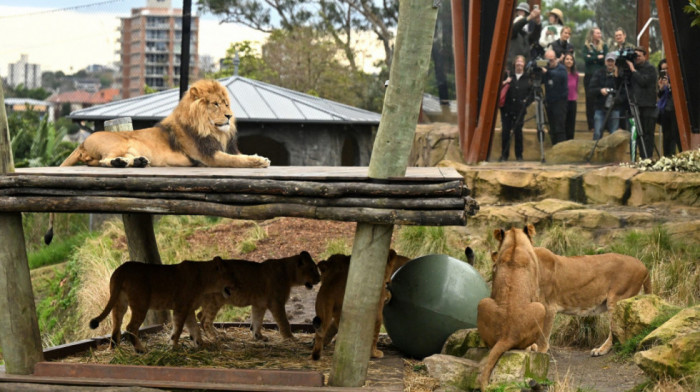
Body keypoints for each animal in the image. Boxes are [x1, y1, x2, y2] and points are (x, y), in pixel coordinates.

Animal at [45, 79, 270, 245]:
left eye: (226, 103)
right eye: (215, 104)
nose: (229, 116)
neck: (212, 130)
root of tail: (82, 142)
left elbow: (238, 155)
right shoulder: (208, 157)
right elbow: (238, 160)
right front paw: (260, 160)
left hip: (129, 147)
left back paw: (139, 162)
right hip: (120, 142)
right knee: (104, 161)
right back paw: (121, 164)